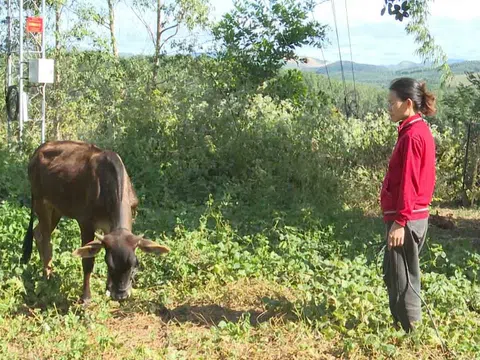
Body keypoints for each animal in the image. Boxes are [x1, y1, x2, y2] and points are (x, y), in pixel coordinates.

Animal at [22, 139, 171, 302]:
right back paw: (47, 276)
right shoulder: (85, 222)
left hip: (57, 208)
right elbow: (88, 261)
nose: (121, 295)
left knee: (38, 232)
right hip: (41, 202)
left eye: (135, 265)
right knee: (46, 239)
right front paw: (86, 297)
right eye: (109, 264)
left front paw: (108, 289)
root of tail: (39, 149)